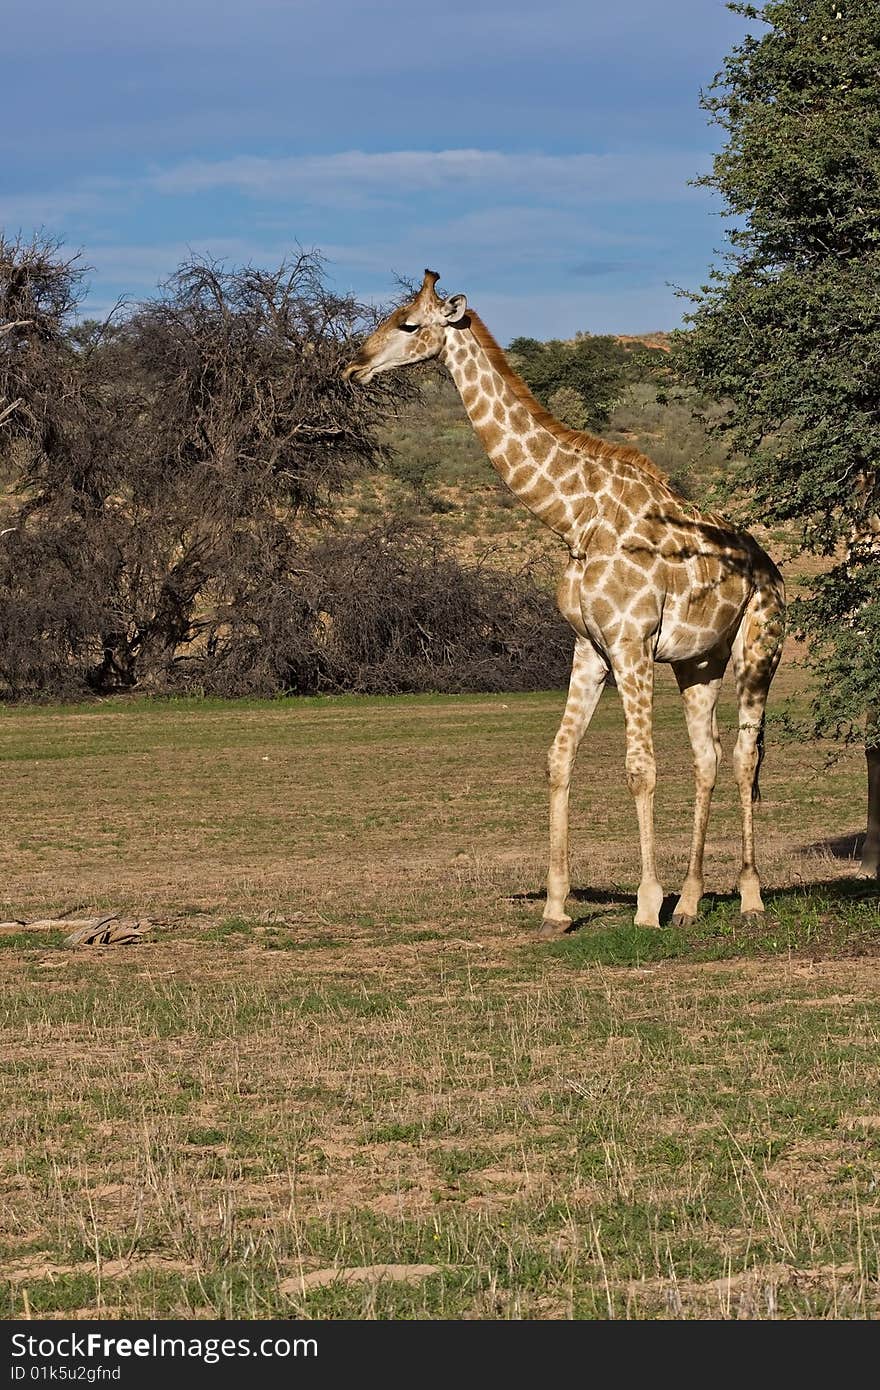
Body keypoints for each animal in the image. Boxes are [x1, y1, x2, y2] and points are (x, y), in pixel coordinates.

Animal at [341, 265, 784, 928]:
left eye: (410, 324)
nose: (353, 367)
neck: (575, 520)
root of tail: (774, 571)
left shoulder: (630, 644)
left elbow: (639, 767)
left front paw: (645, 906)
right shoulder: (588, 647)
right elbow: (559, 757)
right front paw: (555, 906)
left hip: (758, 651)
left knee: (743, 755)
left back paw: (749, 896)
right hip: (699, 661)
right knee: (706, 757)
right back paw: (691, 902)